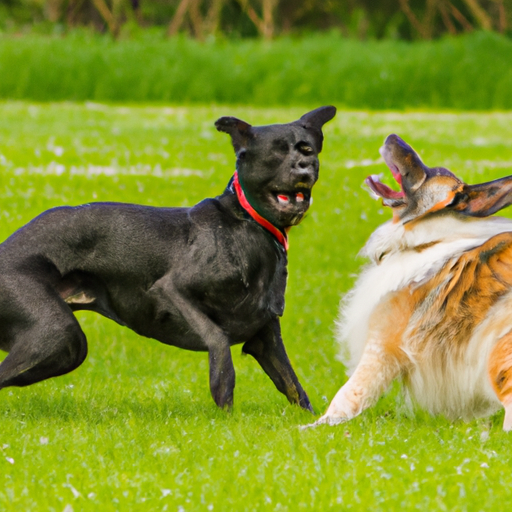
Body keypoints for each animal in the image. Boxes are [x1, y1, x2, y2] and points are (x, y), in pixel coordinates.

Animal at [0, 106, 336, 410]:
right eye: (276, 153)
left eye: (308, 150)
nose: (304, 168)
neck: (247, 222)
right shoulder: (172, 290)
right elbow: (218, 340)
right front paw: (223, 399)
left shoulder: (266, 337)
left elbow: (294, 387)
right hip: (58, 335)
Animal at [310, 134, 512, 430]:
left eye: (428, 173)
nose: (392, 137)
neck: (429, 239)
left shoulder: (380, 345)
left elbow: (346, 396)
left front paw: (311, 428)